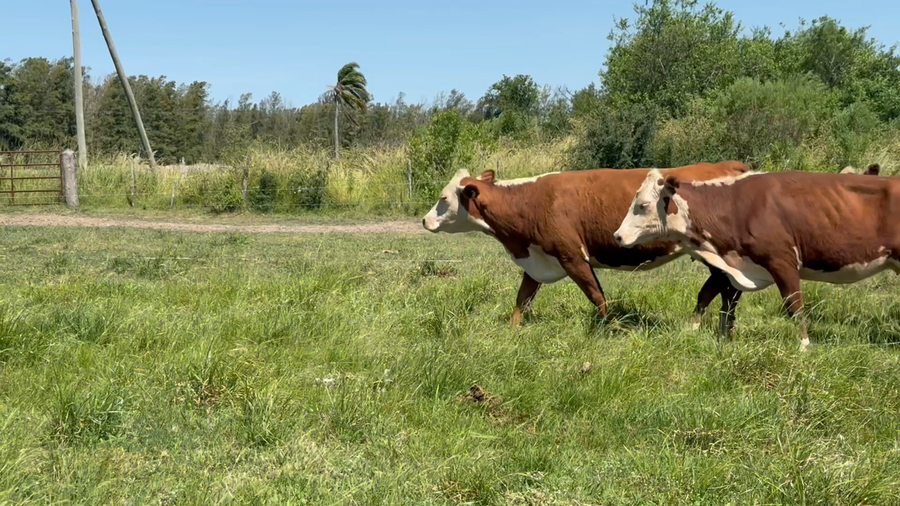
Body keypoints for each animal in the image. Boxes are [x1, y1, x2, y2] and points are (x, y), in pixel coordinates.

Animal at [422, 162, 751, 330]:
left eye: (443, 197)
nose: (424, 220)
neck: (529, 202)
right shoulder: (538, 258)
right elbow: (522, 298)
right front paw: (513, 331)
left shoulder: (572, 257)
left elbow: (597, 296)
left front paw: (607, 329)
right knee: (721, 289)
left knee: (724, 288)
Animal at [613, 169, 900, 350]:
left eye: (643, 205)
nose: (617, 236)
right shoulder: (729, 264)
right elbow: (708, 296)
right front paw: (700, 334)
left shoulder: (782, 261)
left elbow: (794, 305)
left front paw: (804, 347)